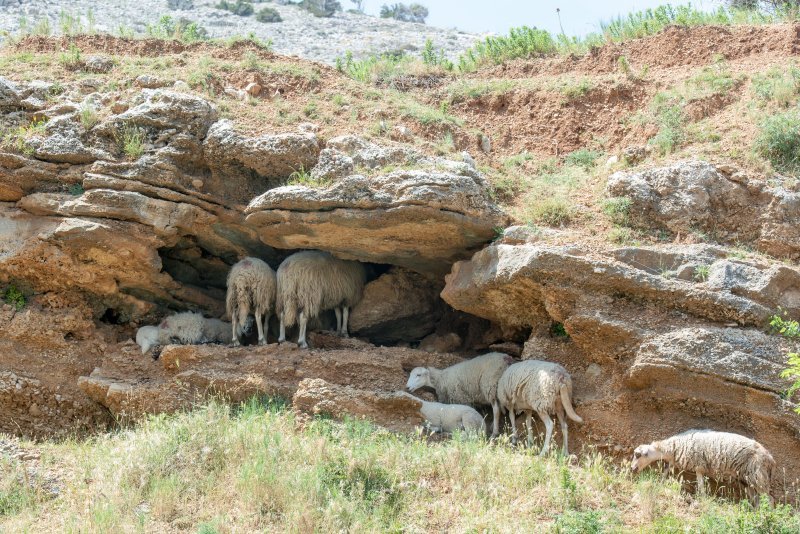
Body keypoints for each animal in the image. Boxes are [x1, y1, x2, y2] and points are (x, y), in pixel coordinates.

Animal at [632, 430, 776, 504]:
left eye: (638, 454)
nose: (632, 469)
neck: (673, 448)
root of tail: (771, 459)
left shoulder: (699, 466)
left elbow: (701, 487)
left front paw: (702, 499)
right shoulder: (675, 462)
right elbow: (665, 472)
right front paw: (659, 483)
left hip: (758, 475)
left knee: (769, 499)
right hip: (747, 480)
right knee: (757, 500)